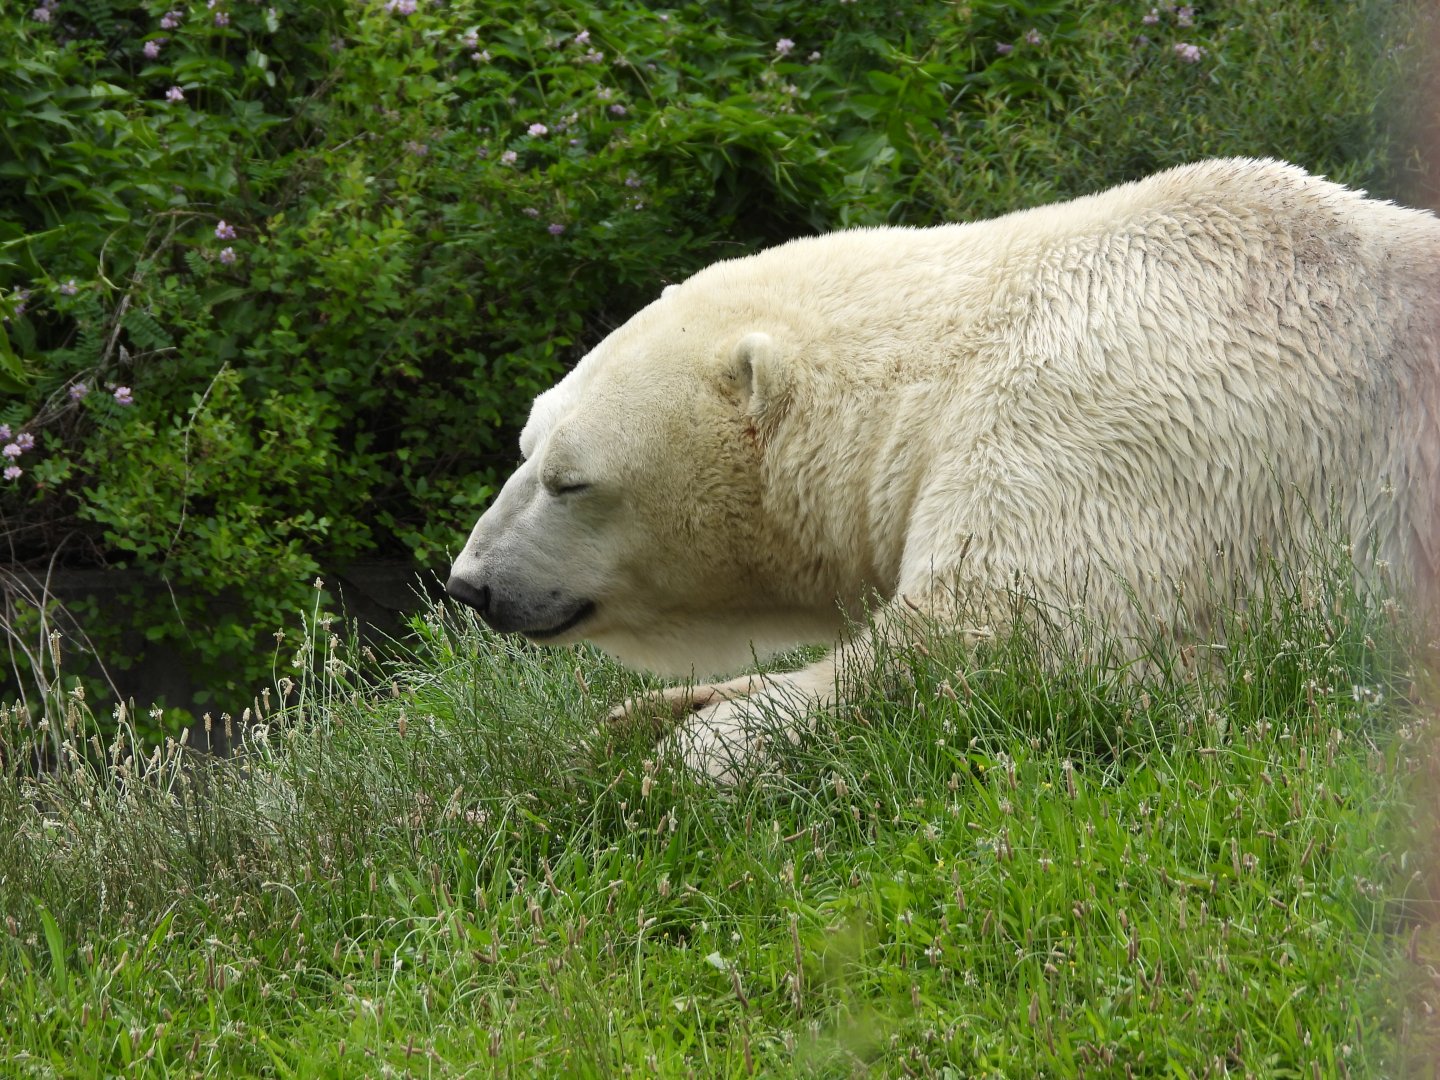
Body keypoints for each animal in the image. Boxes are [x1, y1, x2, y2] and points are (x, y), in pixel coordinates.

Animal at [446, 158, 1440, 783]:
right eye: (527, 449)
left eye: (571, 481)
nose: (470, 584)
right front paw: (635, 721)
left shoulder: (1112, 418)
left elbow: (998, 636)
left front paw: (690, 758)